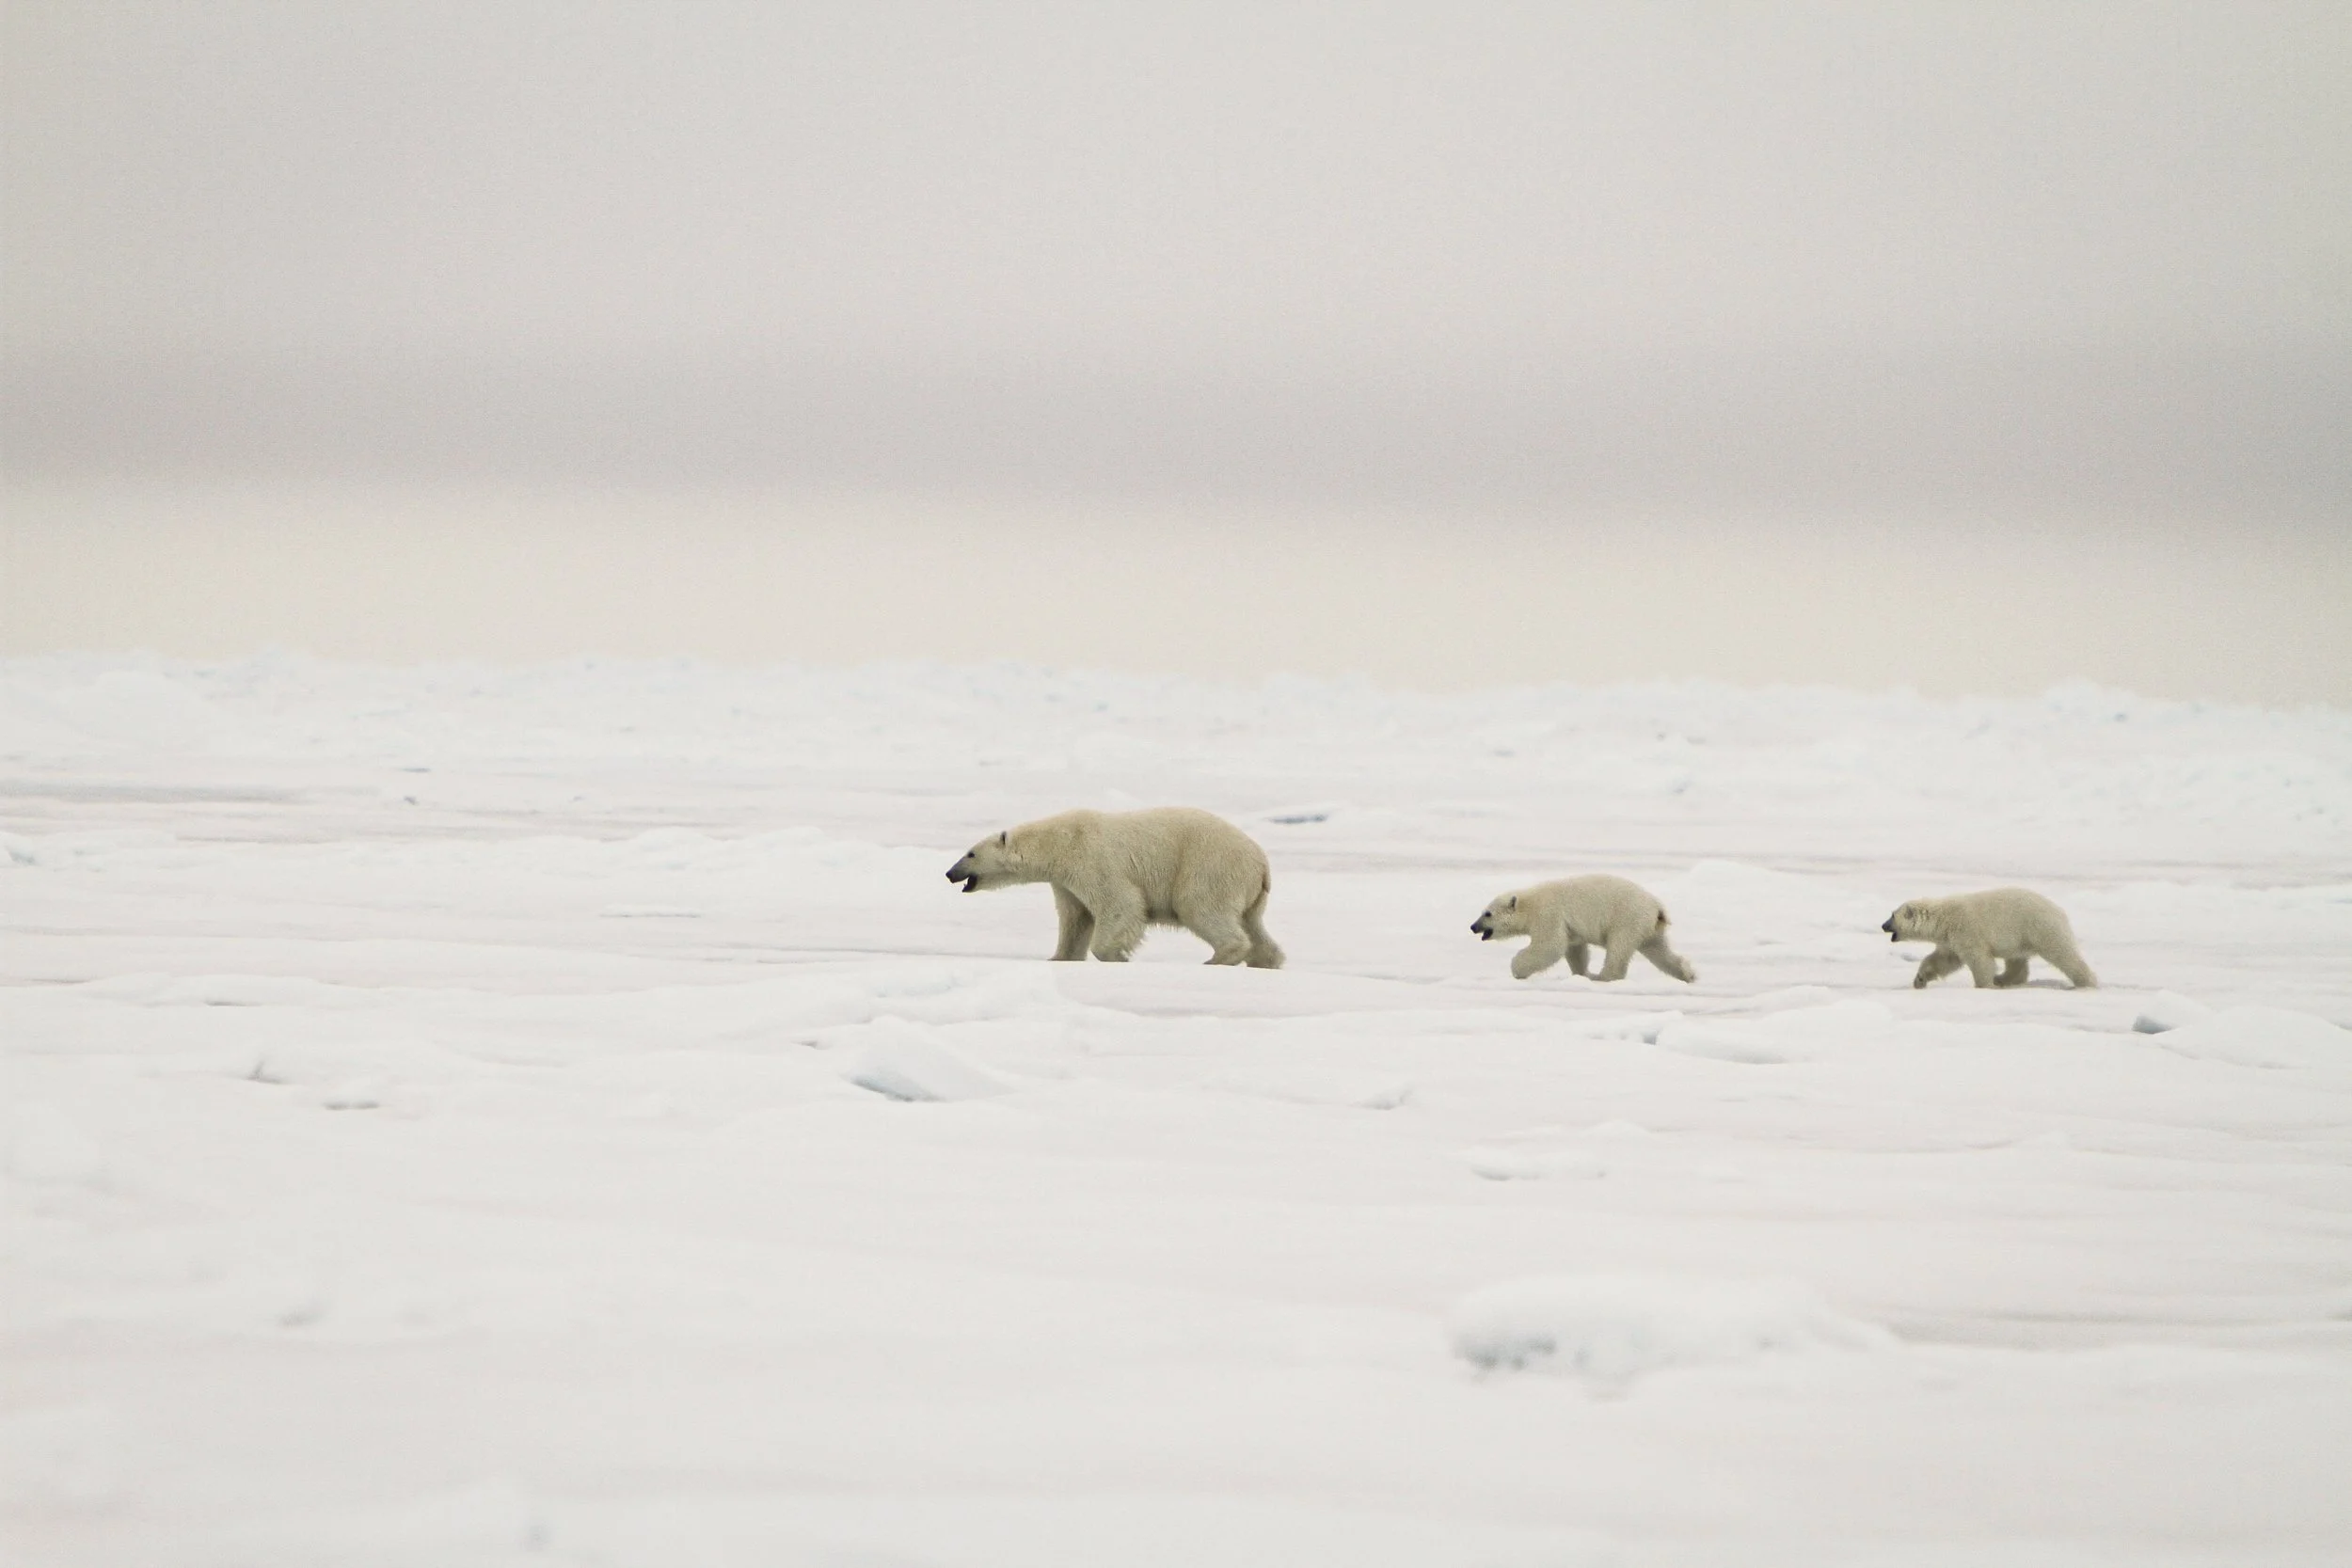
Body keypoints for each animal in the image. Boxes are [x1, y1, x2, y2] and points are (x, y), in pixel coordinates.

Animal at [946, 807, 1284, 967]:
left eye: (970, 853)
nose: (950, 873)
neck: (1058, 842)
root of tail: (1261, 862)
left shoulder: (1091, 858)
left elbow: (1120, 904)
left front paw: (1117, 956)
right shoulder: (1064, 882)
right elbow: (1075, 919)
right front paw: (1059, 958)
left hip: (1209, 867)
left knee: (1200, 907)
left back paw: (1218, 957)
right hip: (1249, 890)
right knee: (1252, 923)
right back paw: (1265, 960)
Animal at [1470, 875, 1696, 983]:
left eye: (1487, 914)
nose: (1473, 927)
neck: (1529, 904)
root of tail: (1657, 908)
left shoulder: (1549, 914)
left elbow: (1550, 945)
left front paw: (1517, 969)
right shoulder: (1569, 926)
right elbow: (1574, 948)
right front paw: (1581, 973)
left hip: (1627, 919)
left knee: (1618, 948)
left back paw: (1603, 976)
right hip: (1648, 927)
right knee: (1658, 950)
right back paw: (1687, 973)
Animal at [1880, 888, 2097, 989]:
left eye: (1892, 915)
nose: (1883, 925)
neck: (1944, 918)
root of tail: (2059, 910)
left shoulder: (1967, 930)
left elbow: (1979, 959)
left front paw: (1984, 985)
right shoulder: (1950, 940)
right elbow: (1944, 960)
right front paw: (1919, 980)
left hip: (2039, 927)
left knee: (2063, 954)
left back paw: (2086, 982)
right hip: (2019, 937)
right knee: (2017, 962)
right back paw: (2003, 979)